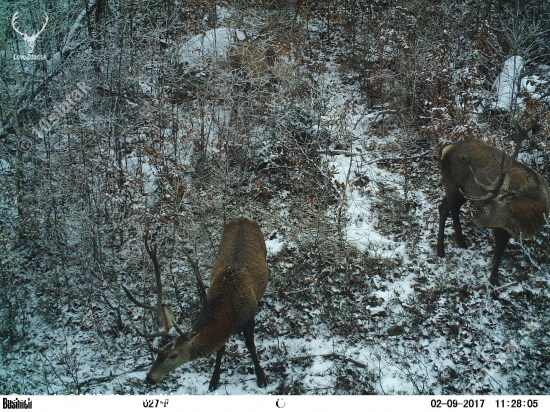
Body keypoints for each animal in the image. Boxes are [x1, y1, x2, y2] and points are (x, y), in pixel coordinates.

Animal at [125, 217, 272, 392]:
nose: (149, 378)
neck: (231, 315)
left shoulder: (249, 317)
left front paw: (261, 377)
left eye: (174, 355)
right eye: (157, 353)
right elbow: (220, 350)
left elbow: (251, 346)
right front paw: (214, 381)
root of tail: (243, 218)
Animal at [438, 119, 548, 286]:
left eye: (486, 210)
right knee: (445, 209)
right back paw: (440, 250)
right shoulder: (500, 224)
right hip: (451, 184)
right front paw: (494, 279)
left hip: (461, 191)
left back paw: (461, 241)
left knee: (451, 208)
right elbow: (499, 249)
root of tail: (446, 148)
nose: (473, 222)